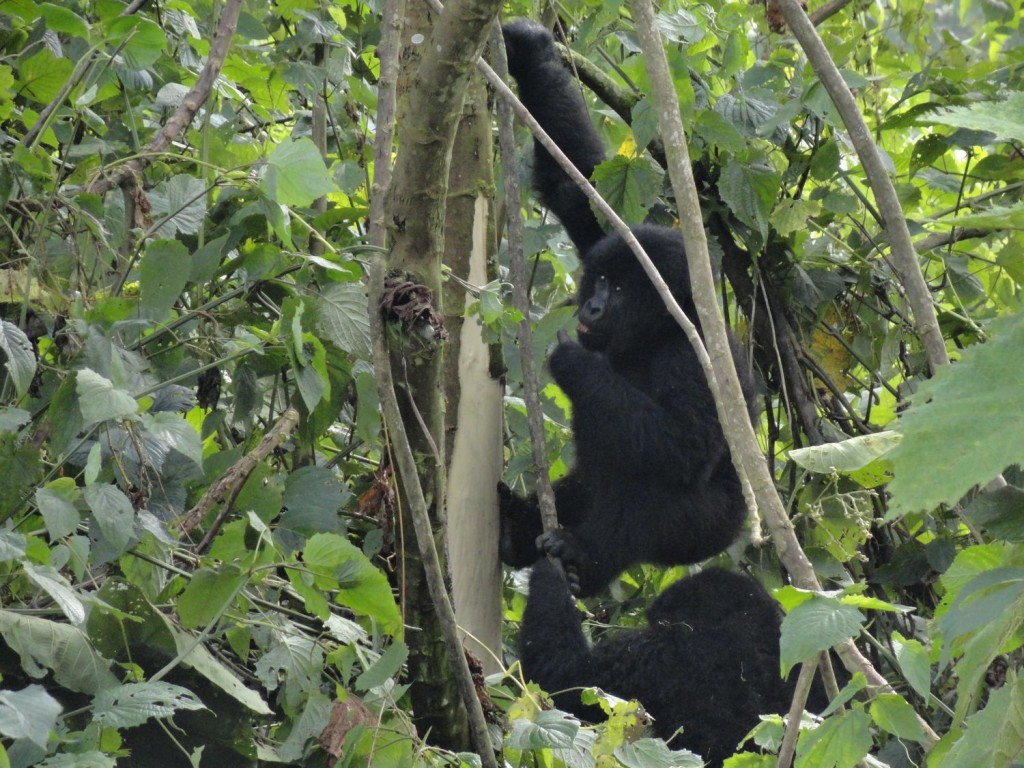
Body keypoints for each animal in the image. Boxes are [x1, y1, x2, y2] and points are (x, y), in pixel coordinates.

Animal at [499, 16, 757, 593]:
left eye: (618, 292)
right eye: (598, 280)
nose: (592, 309)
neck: (654, 334)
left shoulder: (693, 358)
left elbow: (683, 448)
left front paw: (572, 363)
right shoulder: (612, 233)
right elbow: (576, 186)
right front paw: (530, 51)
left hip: (710, 530)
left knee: (652, 506)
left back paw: (582, 559)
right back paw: (515, 527)